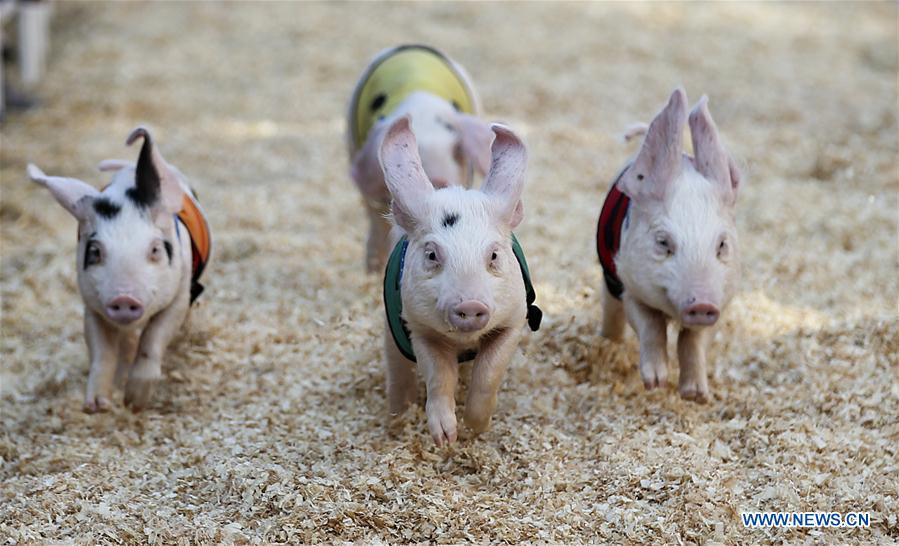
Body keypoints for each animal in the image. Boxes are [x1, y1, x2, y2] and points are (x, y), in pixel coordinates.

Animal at [27, 126, 211, 412]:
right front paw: (97, 405)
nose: (124, 297)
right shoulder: (92, 305)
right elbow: (102, 350)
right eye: (95, 251)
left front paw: (134, 403)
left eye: (155, 249)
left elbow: (154, 337)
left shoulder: (180, 294)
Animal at [380, 116, 542, 446]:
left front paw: (476, 427)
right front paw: (445, 438)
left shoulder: (514, 319)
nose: (470, 304)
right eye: (431, 254)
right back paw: (396, 420)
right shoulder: (419, 326)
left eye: (493, 255)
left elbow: (489, 372)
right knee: (398, 374)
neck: (463, 342)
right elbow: (439, 377)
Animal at [597, 88, 742, 403]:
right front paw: (655, 383)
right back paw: (608, 342)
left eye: (722, 244)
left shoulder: (721, 302)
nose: (701, 303)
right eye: (663, 242)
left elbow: (694, 339)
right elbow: (650, 324)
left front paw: (696, 396)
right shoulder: (629, 284)